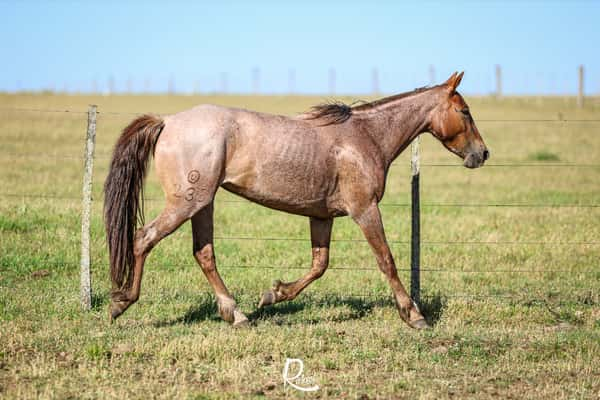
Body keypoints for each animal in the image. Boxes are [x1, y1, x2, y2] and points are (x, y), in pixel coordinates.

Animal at [103, 71, 488, 328]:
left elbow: (319, 265)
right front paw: (414, 316)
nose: (482, 154)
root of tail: (167, 122)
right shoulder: (365, 210)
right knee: (144, 238)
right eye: (465, 111)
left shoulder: (322, 216)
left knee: (204, 254)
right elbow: (386, 261)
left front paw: (273, 294)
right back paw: (121, 303)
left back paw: (236, 314)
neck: (365, 137)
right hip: (186, 203)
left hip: (202, 204)